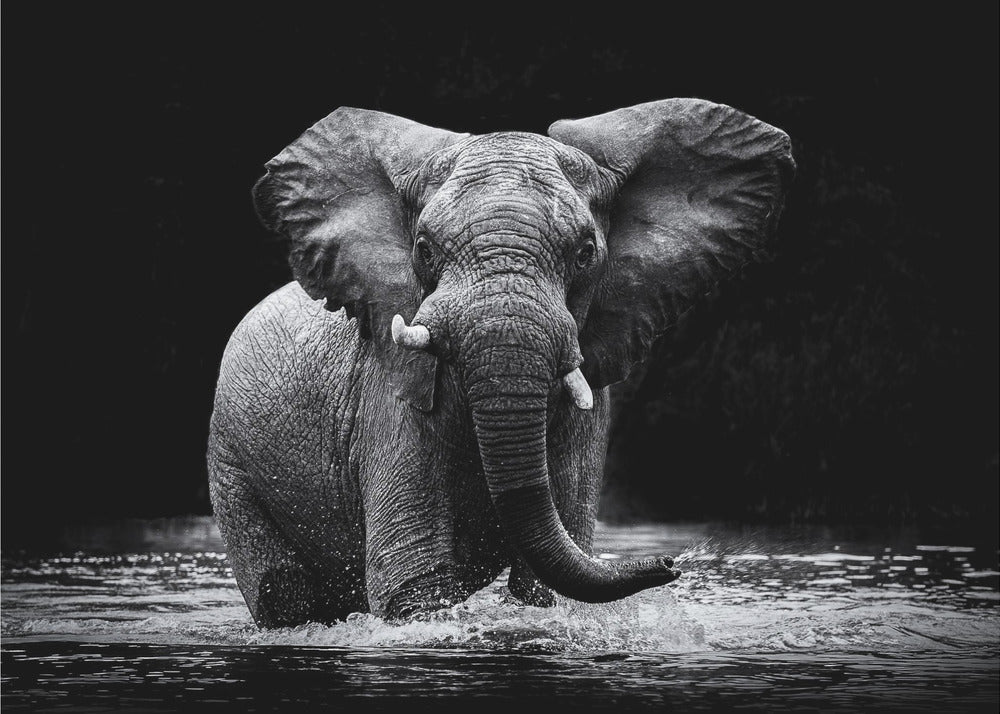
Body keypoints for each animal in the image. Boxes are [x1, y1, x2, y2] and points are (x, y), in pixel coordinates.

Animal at [207, 98, 794, 627]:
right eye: (423, 249)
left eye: (586, 252)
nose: (673, 562)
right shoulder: (391, 395)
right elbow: (413, 584)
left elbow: (546, 587)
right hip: (229, 461)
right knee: (281, 594)